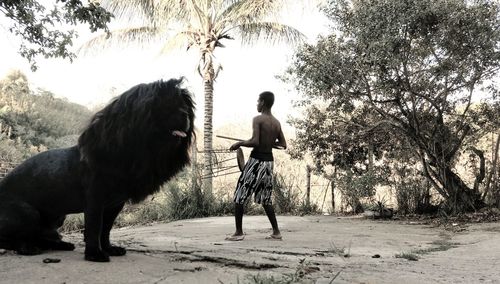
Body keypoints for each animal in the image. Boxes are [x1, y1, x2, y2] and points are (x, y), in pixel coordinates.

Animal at [0, 78, 194, 262]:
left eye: (184, 106)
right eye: (163, 106)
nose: (185, 114)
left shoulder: (114, 205)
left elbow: (105, 229)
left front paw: (108, 248)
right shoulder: (95, 201)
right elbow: (94, 228)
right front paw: (94, 254)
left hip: (58, 217)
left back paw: (60, 245)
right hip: (29, 214)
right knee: (10, 240)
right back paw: (27, 248)